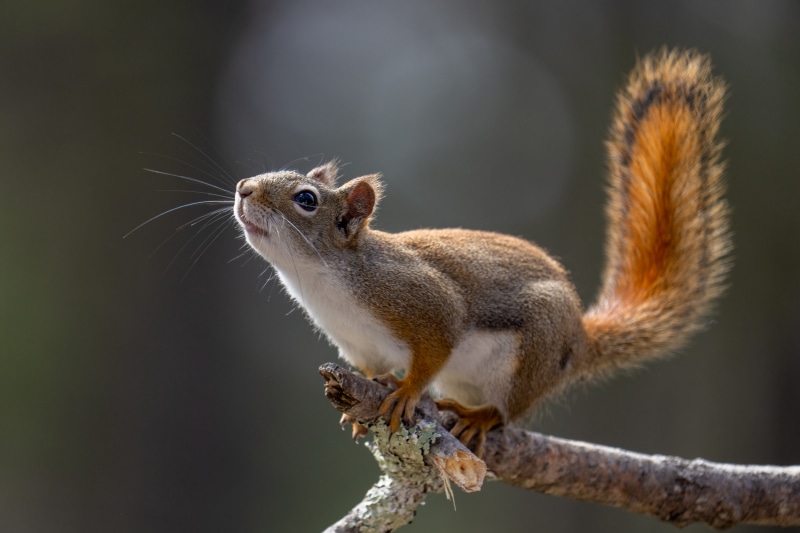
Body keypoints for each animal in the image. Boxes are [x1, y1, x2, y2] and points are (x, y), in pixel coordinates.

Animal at [233, 48, 731, 454]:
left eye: (306, 199)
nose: (243, 188)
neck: (322, 281)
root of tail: (579, 338)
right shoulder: (359, 347)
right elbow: (373, 371)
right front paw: (371, 400)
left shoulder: (420, 299)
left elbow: (437, 342)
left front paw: (408, 391)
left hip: (532, 352)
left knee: (509, 411)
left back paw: (480, 415)